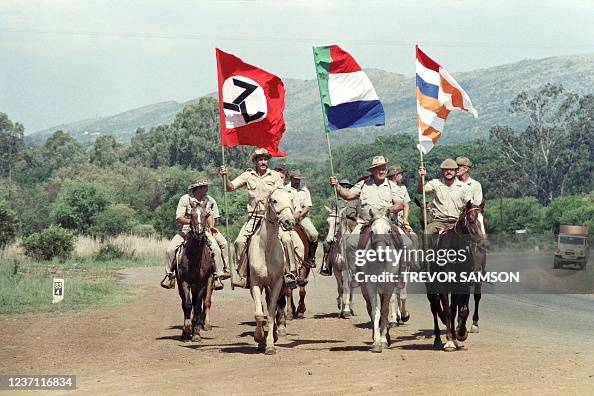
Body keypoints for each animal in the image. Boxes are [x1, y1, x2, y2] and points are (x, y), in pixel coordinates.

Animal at [175, 201, 214, 340]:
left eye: (206, 215)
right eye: (190, 215)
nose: (199, 233)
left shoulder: (202, 283)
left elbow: (197, 306)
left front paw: (196, 333)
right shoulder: (184, 281)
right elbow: (187, 304)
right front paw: (187, 329)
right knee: (184, 303)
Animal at [246, 187, 294, 354]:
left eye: (290, 199)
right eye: (274, 200)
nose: (290, 222)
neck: (266, 250)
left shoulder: (277, 283)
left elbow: (272, 312)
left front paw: (271, 344)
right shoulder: (255, 283)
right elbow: (259, 314)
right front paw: (259, 338)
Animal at [424, 200, 484, 352]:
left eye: (483, 220)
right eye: (471, 220)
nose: (483, 242)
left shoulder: (462, 284)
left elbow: (461, 310)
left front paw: (460, 336)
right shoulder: (442, 285)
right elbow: (447, 311)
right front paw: (450, 341)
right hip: (430, 285)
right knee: (434, 307)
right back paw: (438, 339)